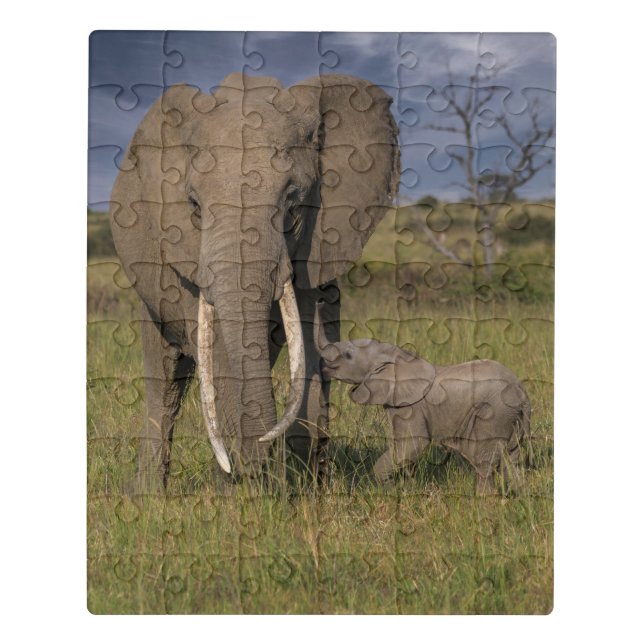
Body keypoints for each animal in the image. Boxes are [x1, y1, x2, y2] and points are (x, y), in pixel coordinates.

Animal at [109, 72, 400, 491]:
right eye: (195, 208)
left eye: (293, 206)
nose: (255, 460)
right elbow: (214, 351)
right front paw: (247, 488)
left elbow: (313, 345)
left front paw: (304, 491)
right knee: (165, 376)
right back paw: (150, 495)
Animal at [314, 304, 531, 494]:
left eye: (348, 355)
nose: (319, 301)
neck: (398, 355)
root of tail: (522, 392)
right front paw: (402, 488)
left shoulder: (411, 406)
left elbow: (412, 444)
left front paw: (390, 491)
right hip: (511, 417)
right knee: (510, 458)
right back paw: (519, 496)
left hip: (495, 412)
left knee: (485, 459)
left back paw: (484, 499)